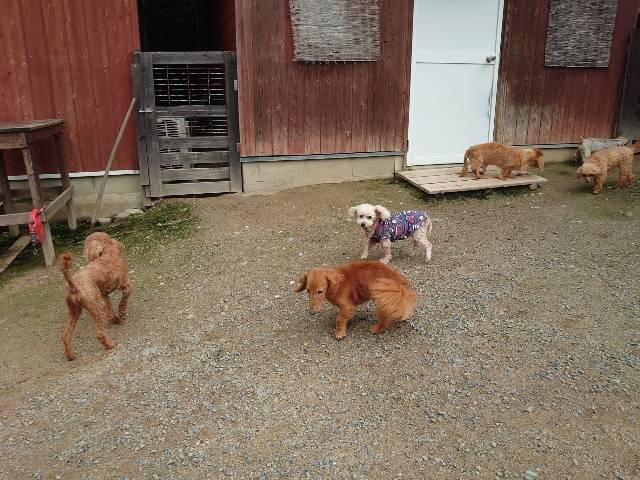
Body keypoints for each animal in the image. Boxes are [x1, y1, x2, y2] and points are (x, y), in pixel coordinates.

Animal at [57, 232, 132, 360]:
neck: (109, 252)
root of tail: (72, 284)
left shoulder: (103, 295)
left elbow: (110, 311)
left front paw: (116, 319)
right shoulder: (126, 285)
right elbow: (124, 300)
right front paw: (121, 313)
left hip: (75, 310)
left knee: (65, 334)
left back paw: (70, 355)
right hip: (96, 307)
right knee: (100, 334)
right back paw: (111, 344)